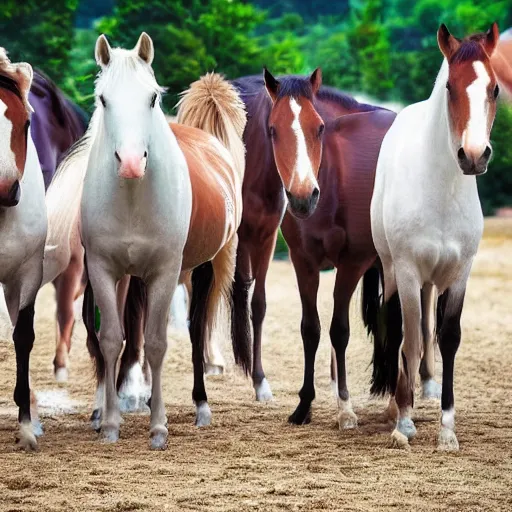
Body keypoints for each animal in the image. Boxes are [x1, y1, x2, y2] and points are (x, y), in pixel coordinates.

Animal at [370, 22, 502, 450]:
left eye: (495, 88)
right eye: (450, 87)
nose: (473, 155)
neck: (442, 190)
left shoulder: (460, 274)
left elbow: (448, 338)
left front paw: (447, 429)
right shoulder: (409, 272)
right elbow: (408, 339)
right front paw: (404, 423)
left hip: (432, 281)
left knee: (427, 328)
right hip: (394, 270)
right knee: (399, 330)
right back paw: (398, 406)